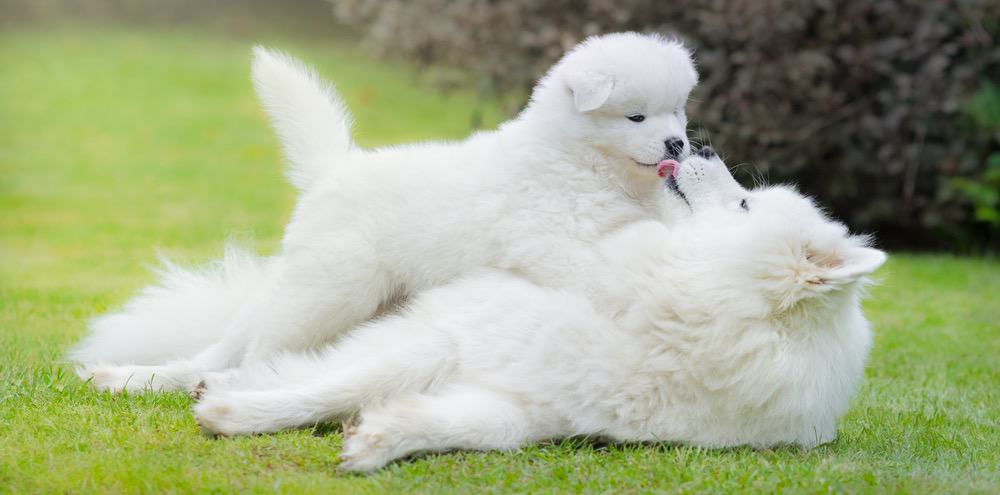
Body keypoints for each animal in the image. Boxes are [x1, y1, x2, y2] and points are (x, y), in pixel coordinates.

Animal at [70, 34, 700, 392]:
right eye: (637, 117)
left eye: (678, 111)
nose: (677, 144)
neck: (583, 160)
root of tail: (333, 171)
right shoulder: (545, 239)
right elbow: (594, 269)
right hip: (329, 290)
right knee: (255, 351)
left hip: (313, 291)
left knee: (222, 349)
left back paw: (132, 379)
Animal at [191, 152, 888, 472]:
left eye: (744, 205)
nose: (704, 150)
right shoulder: (452, 336)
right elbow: (329, 388)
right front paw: (238, 413)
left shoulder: (533, 407)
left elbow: (457, 427)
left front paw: (380, 441)